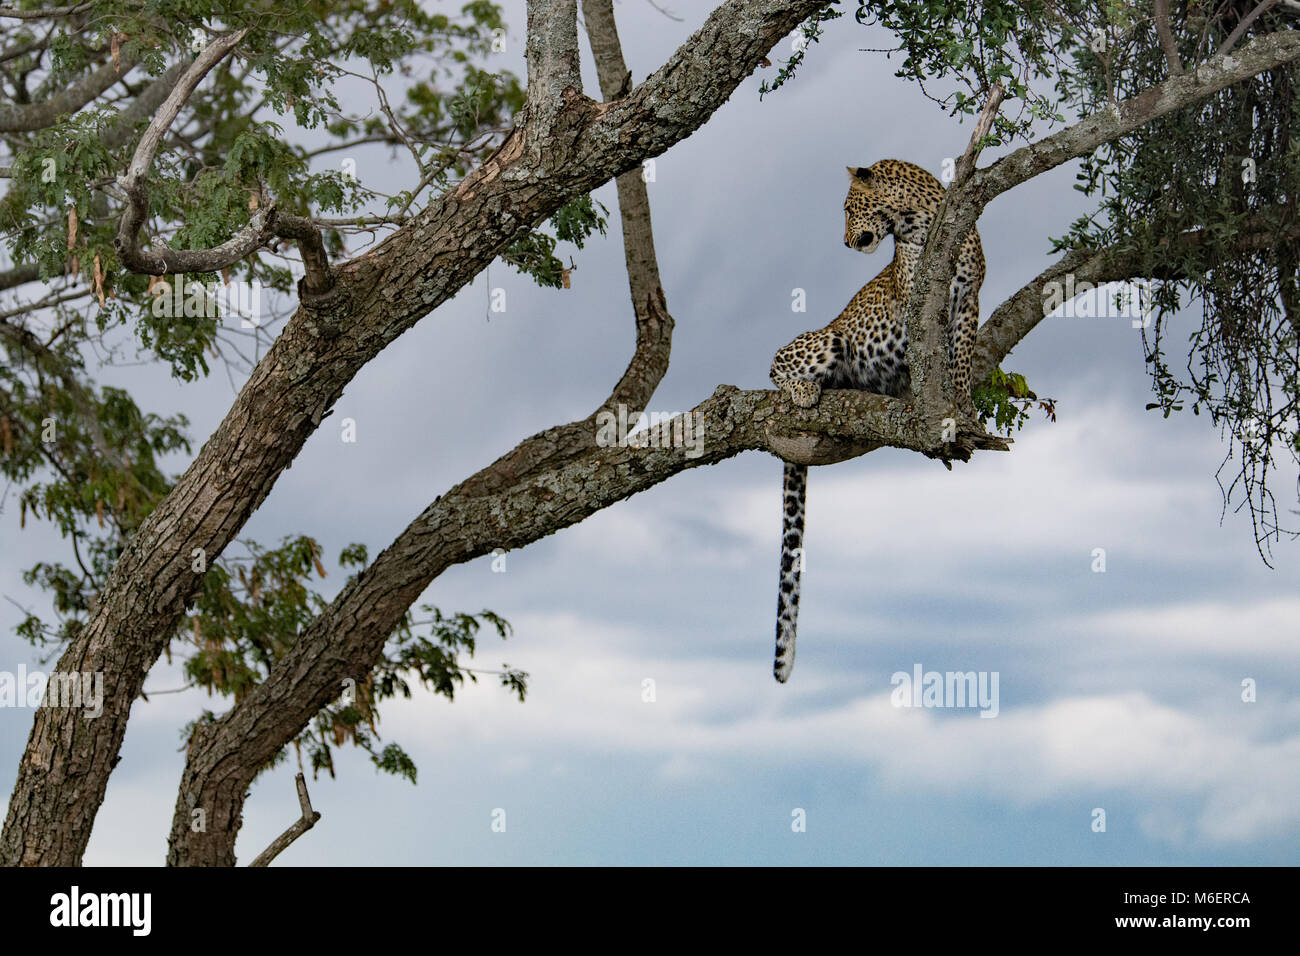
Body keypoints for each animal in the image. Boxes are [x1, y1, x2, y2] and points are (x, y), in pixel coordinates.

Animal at [767, 159, 985, 683]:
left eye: (849, 209)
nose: (846, 242)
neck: (919, 222)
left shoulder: (969, 299)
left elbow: (960, 357)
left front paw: (961, 403)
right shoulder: (916, 301)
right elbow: (931, 352)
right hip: (830, 338)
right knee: (775, 365)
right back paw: (803, 390)